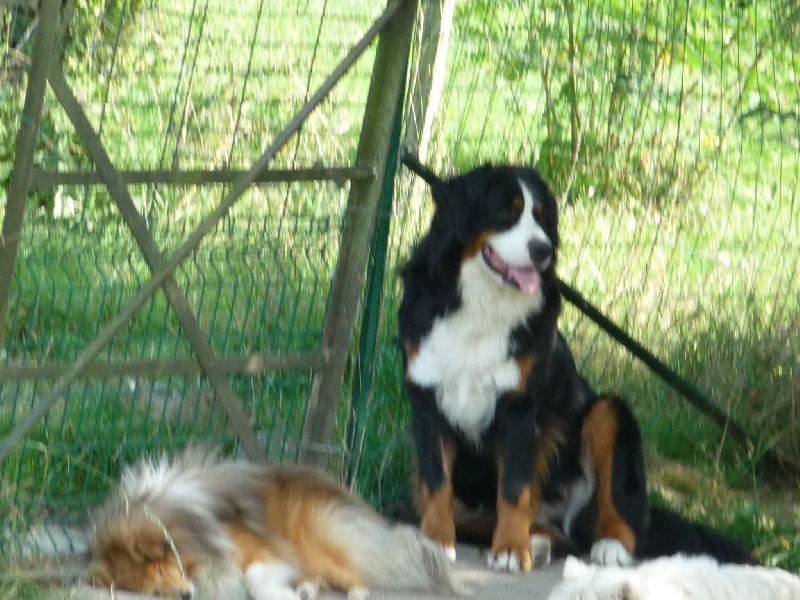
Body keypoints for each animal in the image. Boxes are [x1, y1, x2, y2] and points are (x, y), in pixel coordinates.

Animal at [400, 155, 756, 572]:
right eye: (506, 212)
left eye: (542, 218)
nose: (542, 250)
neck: (479, 304)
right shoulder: (427, 401)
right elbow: (436, 481)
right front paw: (436, 541)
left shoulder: (520, 408)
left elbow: (514, 488)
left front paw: (510, 549)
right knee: (546, 531)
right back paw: (539, 542)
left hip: (607, 413)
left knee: (617, 518)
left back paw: (607, 547)